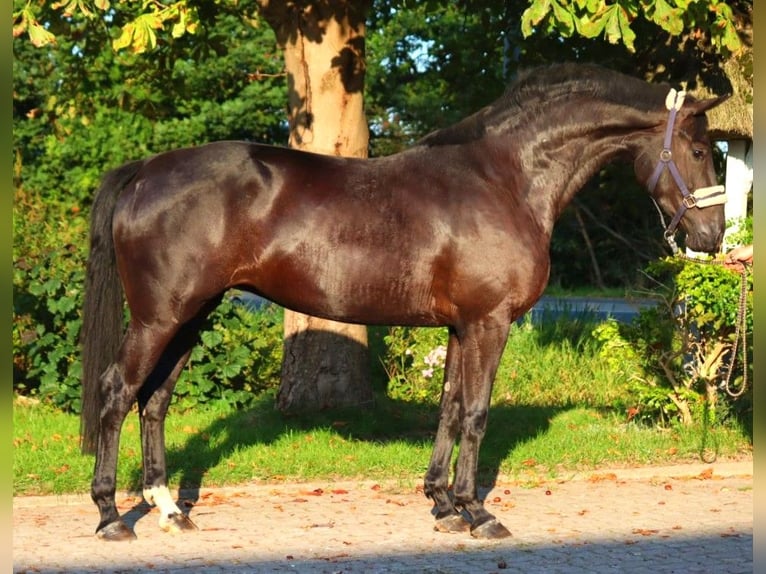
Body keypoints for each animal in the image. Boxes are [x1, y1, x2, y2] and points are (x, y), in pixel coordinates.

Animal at [81, 64, 728, 544]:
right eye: (699, 150)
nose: (712, 237)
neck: (507, 178)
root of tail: (145, 172)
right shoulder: (489, 324)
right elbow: (476, 413)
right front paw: (479, 512)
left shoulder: (461, 327)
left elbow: (449, 409)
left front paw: (442, 505)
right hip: (161, 318)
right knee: (117, 392)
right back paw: (111, 517)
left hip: (192, 316)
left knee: (155, 400)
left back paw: (169, 509)